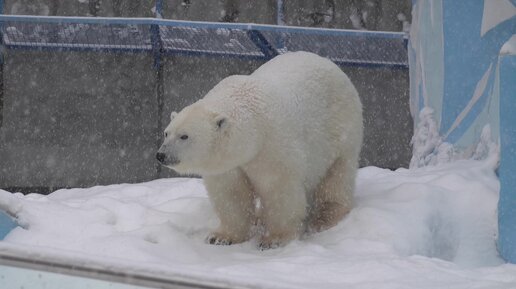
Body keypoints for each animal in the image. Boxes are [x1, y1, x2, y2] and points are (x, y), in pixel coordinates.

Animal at [157, 51, 362, 248]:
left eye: (184, 136)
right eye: (166, 133)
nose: (161, 155)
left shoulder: (271, 147)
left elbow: (278, 190)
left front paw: (273, 239)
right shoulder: (229, 164)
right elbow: (231, 193)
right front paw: (221, 237)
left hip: (341, 130)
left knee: (337, 175)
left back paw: (324, 217)